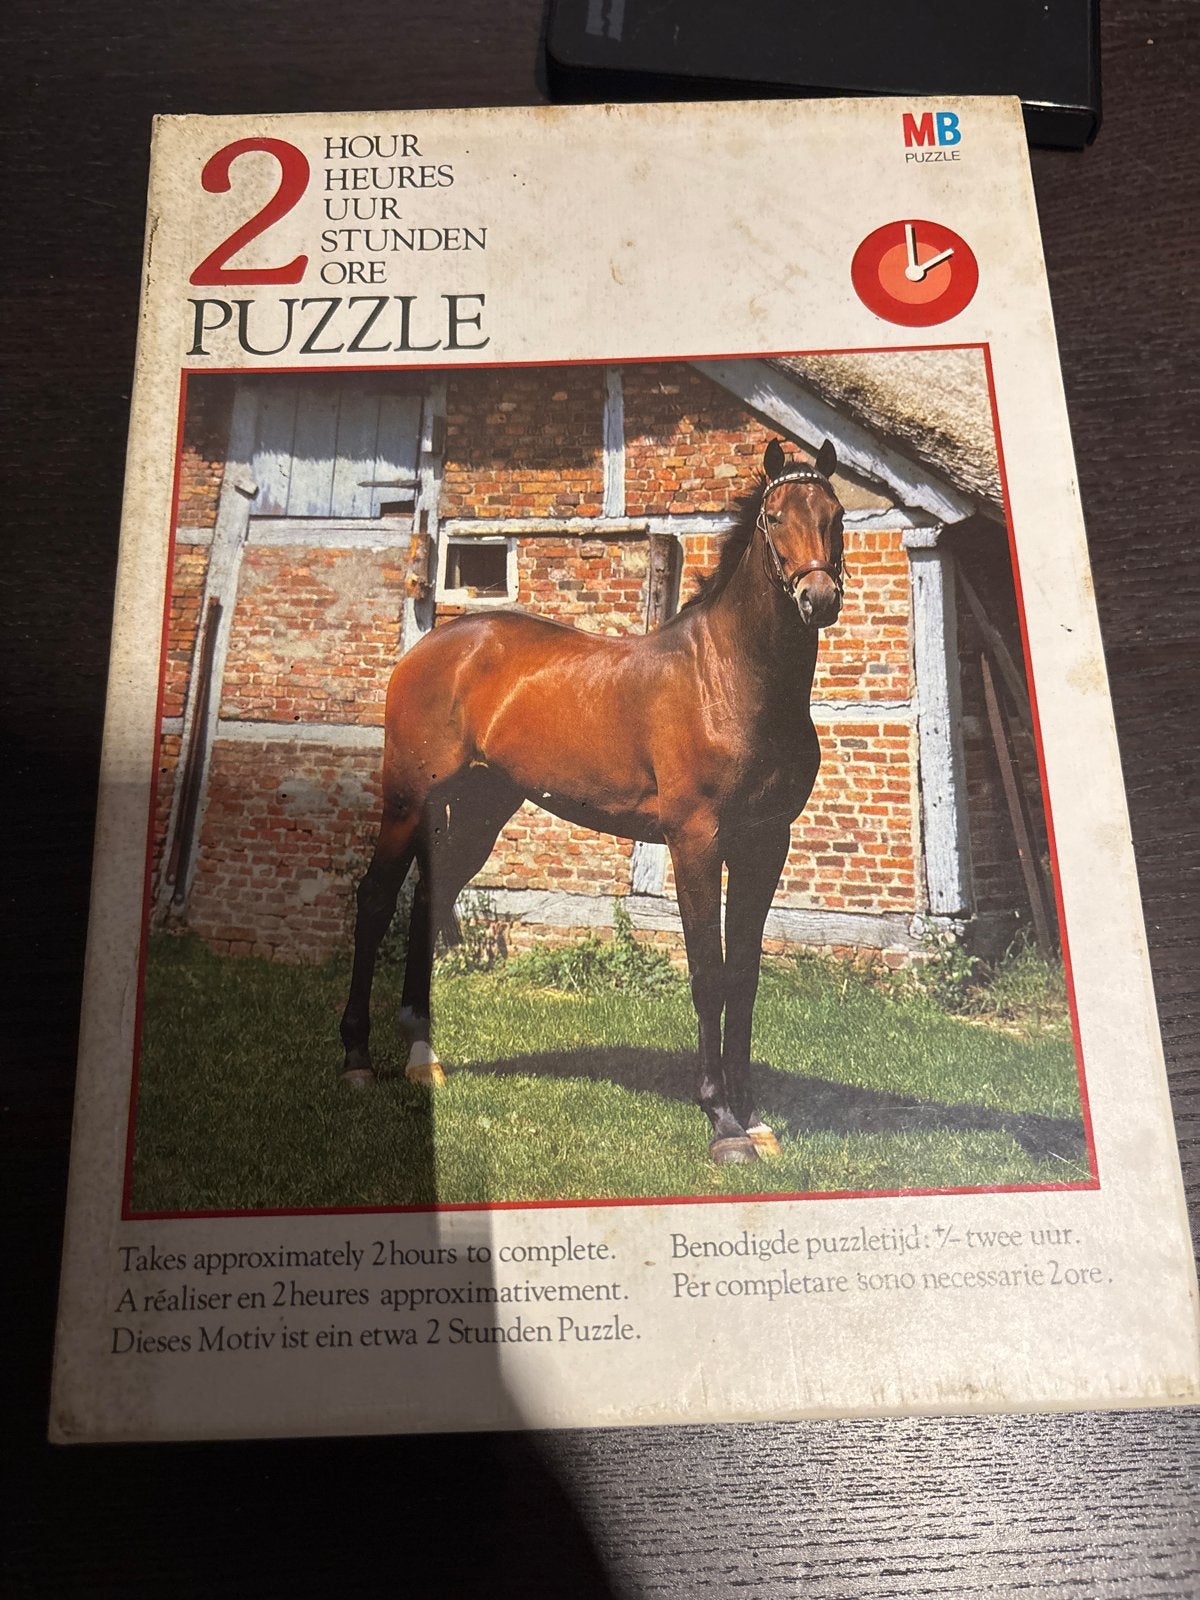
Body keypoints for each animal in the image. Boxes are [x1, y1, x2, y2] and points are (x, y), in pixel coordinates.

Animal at [340, 437, 846, 1165]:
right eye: (774, 518)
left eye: (836, 515)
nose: (819, 598)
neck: (730, 679)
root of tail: (431, 646)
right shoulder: (697, 842)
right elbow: (708, 973)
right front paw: (722, 1124)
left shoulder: (764, 844)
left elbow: (745, 977)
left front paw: (753, 1118)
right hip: (408, 799)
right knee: (377, 898)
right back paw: (355, 1058)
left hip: (482, 808)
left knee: (431, 897)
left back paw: (423, 1057)